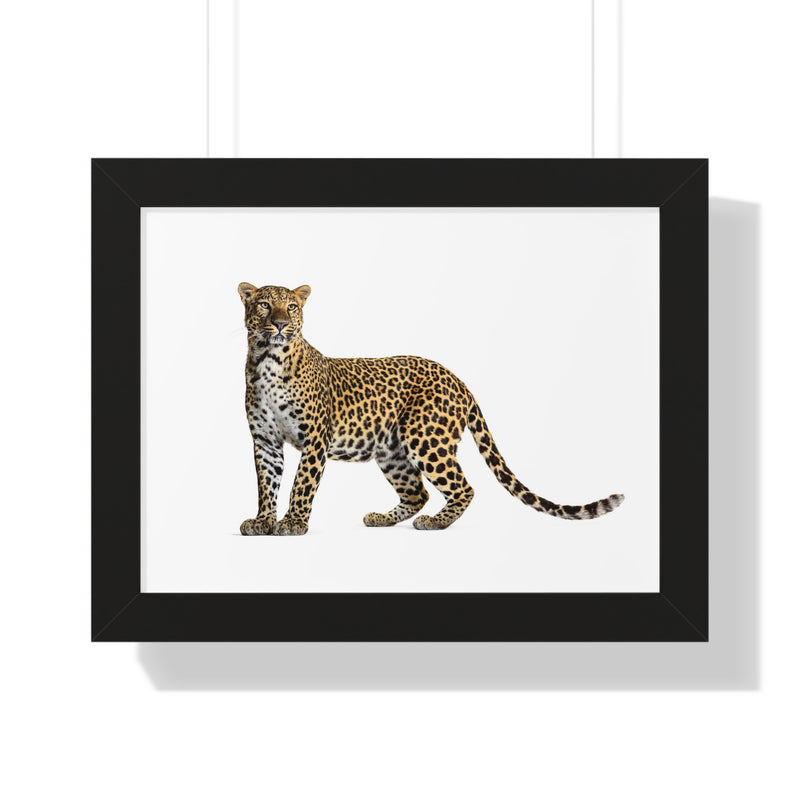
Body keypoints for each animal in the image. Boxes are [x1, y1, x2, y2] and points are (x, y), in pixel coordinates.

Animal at [238, 282, 624, 536]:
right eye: (264, 305)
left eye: (292, 307)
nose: (280, 324)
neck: (268, 360)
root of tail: (458, 379)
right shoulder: (265, 441)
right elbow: (267, 482)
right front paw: (263, 521)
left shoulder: (315, 438)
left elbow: (302, 482)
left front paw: (293, 523)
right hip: (393, 450)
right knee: (418, 491)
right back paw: (382, 518)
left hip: (426, 438)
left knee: (463, 487)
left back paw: (436, 523)